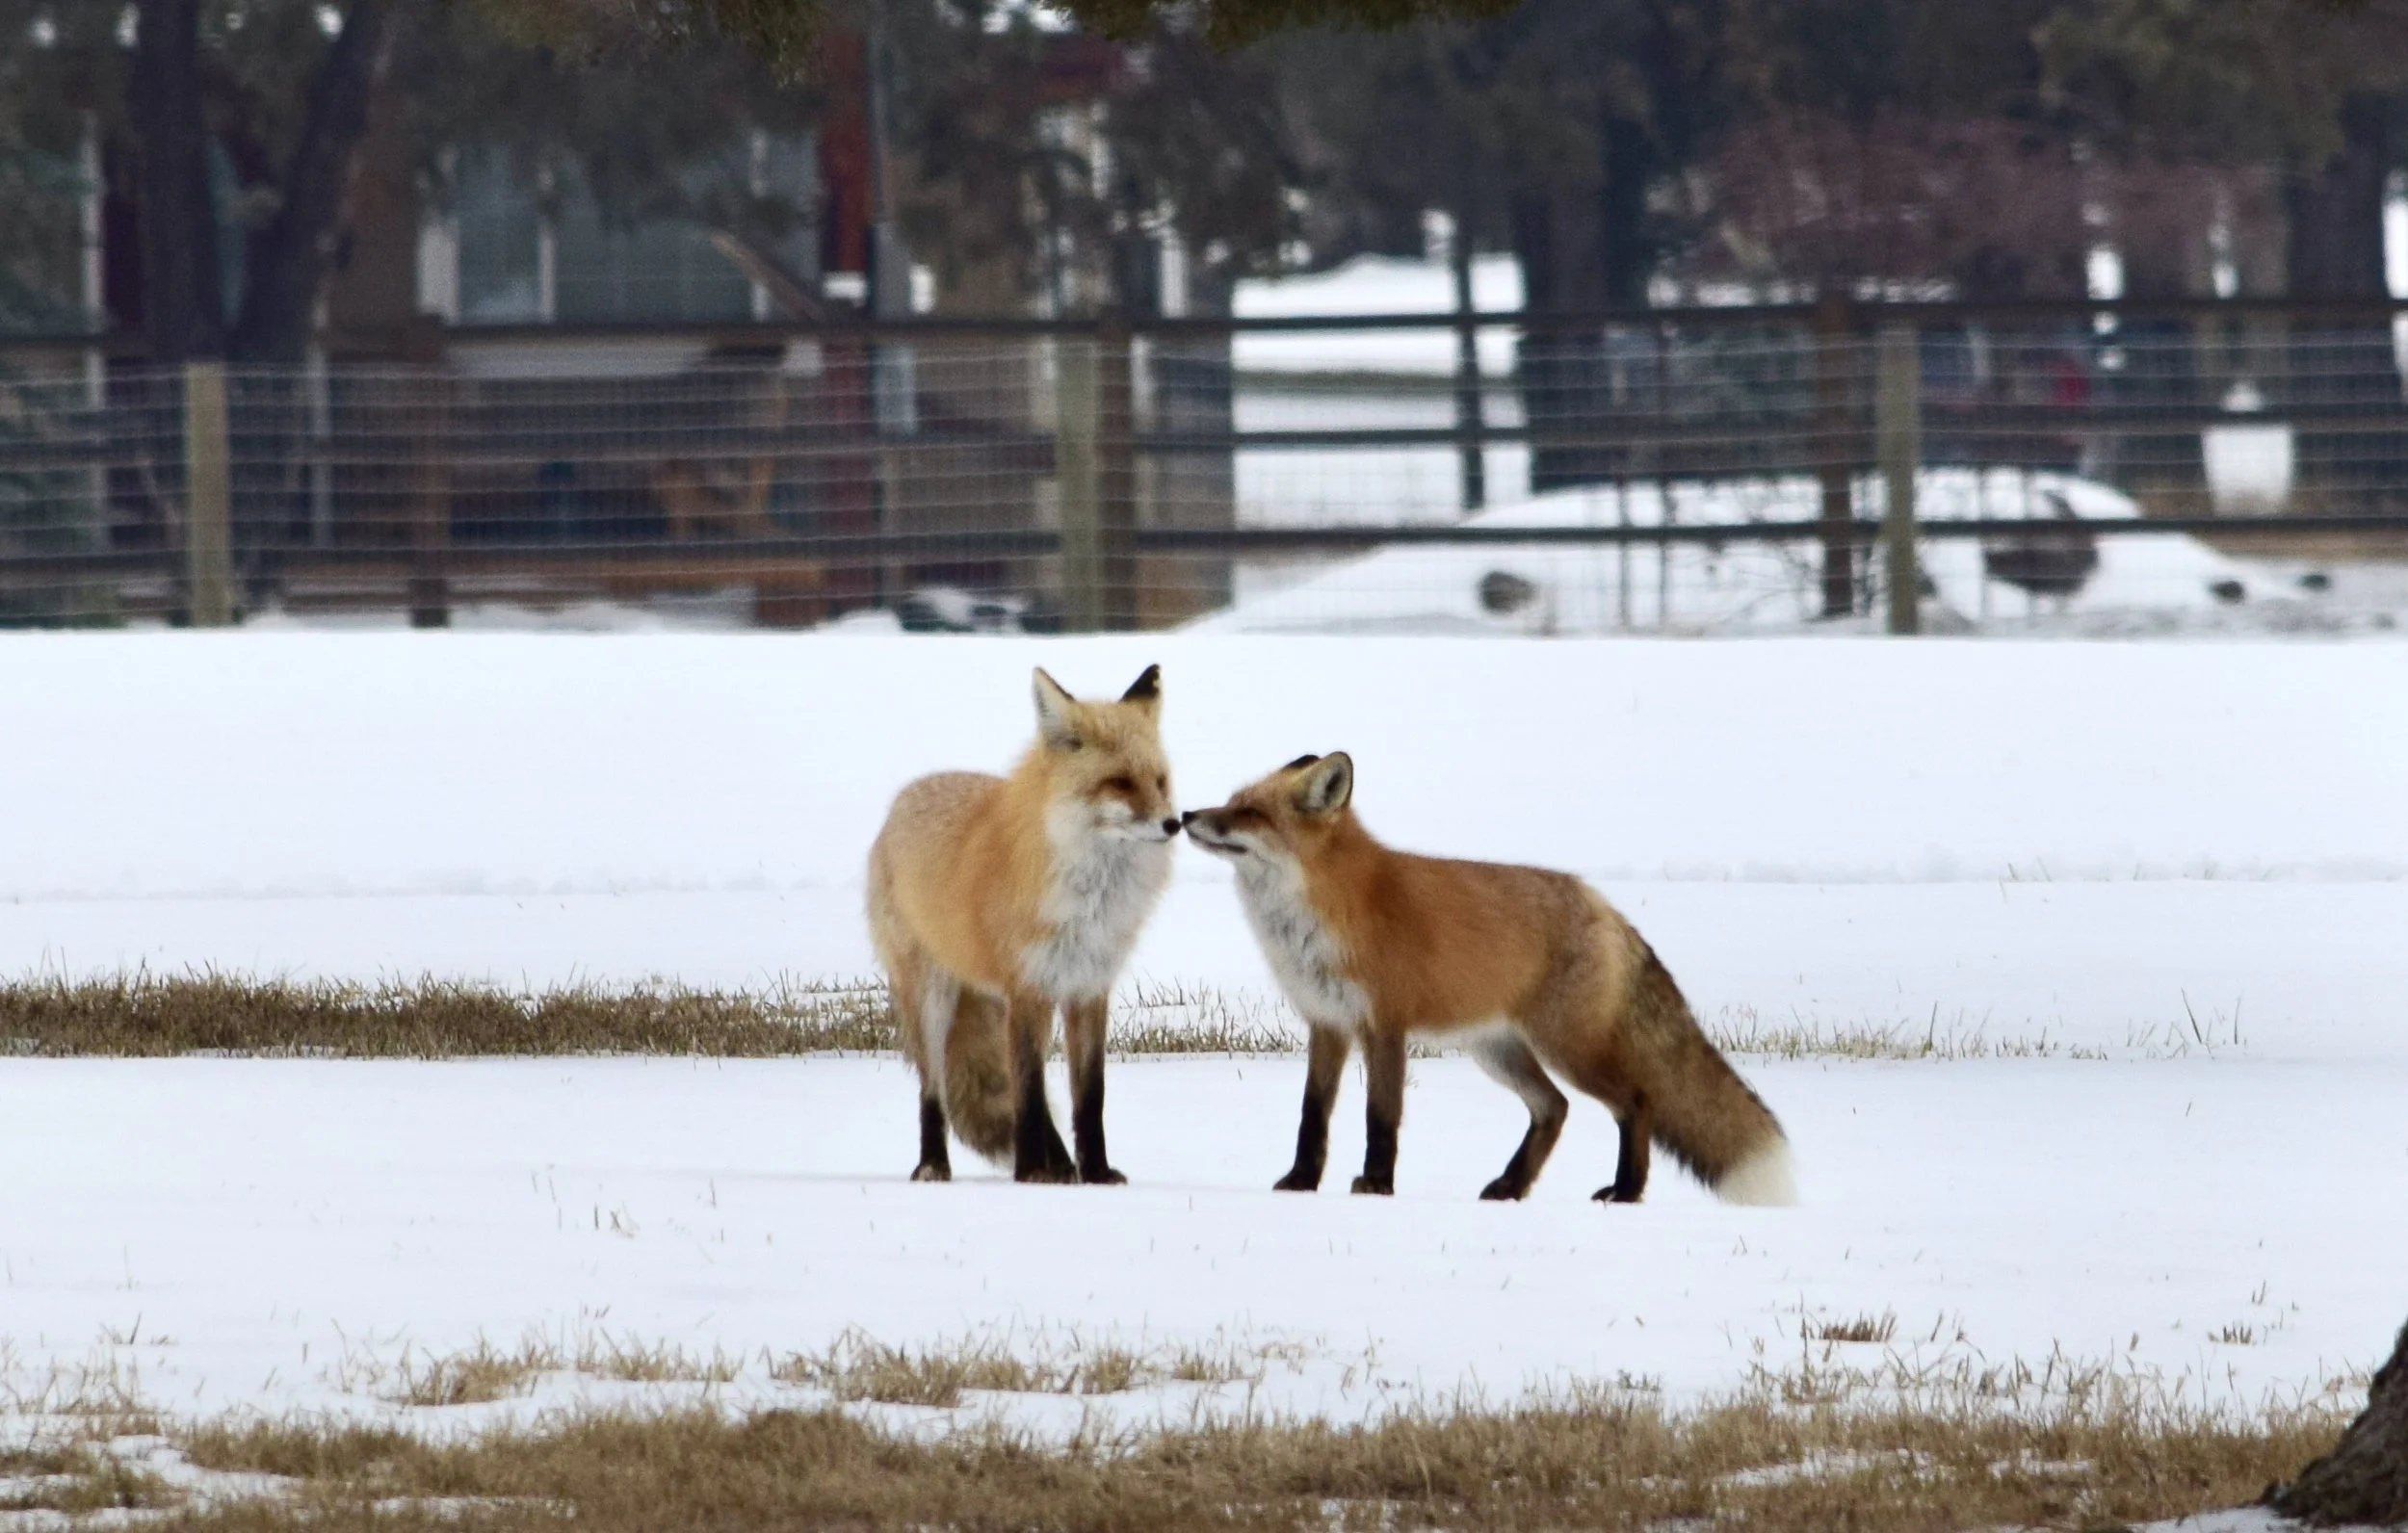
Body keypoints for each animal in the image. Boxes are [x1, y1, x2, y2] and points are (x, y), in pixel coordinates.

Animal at [866, 664, 1179, 1185]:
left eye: (1160, 781)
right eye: (1119, 783)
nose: (1174, 824)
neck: (1090, 900)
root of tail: (901, 801)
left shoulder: (1087, 988)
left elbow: (1088, 1097)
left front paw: (1095, 1171)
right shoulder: (1030, 987)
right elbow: (1031, 1093)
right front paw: (1033, 1171)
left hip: (998, 1005)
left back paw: (1063, 1165)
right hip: (934, 1000)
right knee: (934, 1093)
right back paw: (934, 1165)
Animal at [1181, 752, 1795, 1207]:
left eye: (1250, 813)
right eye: (1232, 803)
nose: (1185, 815)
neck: (1321, 911)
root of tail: (1602, 904)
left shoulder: (1384, 1024)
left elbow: (1382, 1116)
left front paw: (1377, 1184)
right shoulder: (1326, 1023)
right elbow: (1313, 1116)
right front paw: (1301, 1184)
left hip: (1569, 1048)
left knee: (1636, 1102)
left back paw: (1625, 1191)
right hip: (1499, 1052)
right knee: (1554, 1109)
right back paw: (1510, 1186)